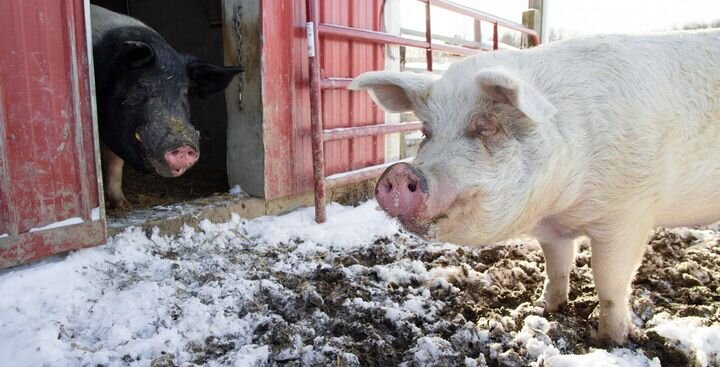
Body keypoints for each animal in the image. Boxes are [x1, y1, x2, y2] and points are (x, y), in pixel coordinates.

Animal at [352, 29, 720, 344]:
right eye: (426, 132)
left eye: (486, 126)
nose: (400, 173)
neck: (562, 204)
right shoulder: (554, 230)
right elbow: (557, 267)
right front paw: (543, 308)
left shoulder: (629, 213)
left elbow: (609, 281)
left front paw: (611, 340)